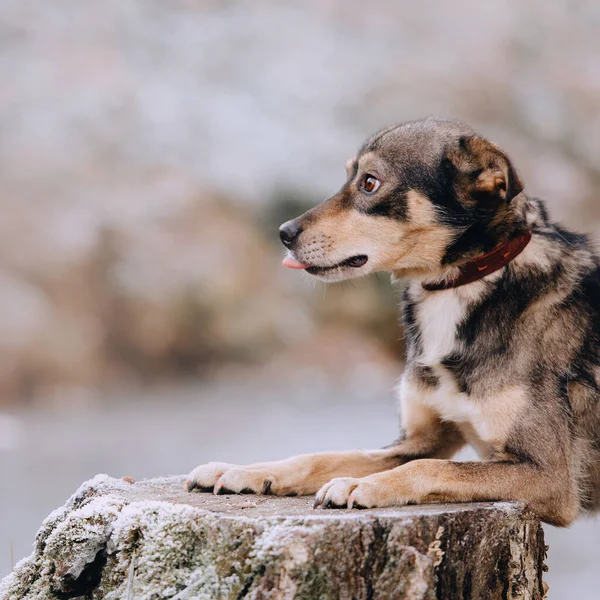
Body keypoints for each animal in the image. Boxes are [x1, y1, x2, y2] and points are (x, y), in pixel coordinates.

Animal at [186, 116, 600, 524]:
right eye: (348, 176)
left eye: (370, 182)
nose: (284, 233)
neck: (458, 284)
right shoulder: (419, 441)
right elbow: (327, 457)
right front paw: (243, 471)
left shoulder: (548, 476)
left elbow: (431, 467)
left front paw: (358, 486)